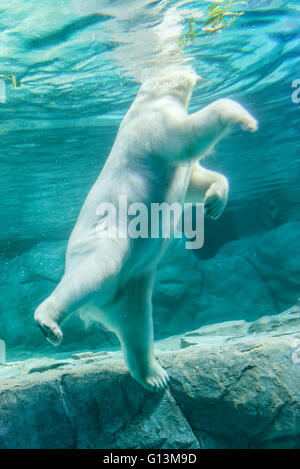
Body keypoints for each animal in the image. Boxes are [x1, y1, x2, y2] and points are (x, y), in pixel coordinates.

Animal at [34, 68, 256, 392]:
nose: (197, 72)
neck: (150, 99)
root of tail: (100, 308)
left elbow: (195, 180)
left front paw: (214, 202)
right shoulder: (152, 127)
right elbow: (187, 136)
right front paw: (245, 119)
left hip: (134, 288)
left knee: (137, 329)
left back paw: (155, 376)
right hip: (109, 245)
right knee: (92, 274)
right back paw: (48, 322)